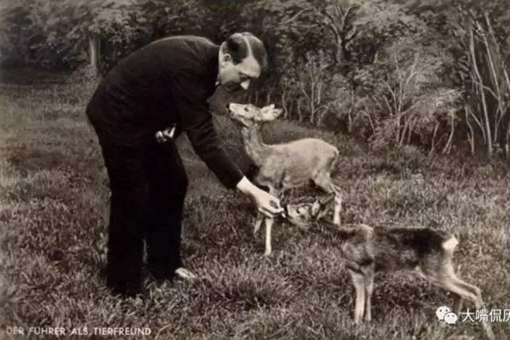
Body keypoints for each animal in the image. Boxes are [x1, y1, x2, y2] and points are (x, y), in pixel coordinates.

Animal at [227, 102, 342, 256]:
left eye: (247, 108)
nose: (228, 105)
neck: (263, 157)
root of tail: (335, 150)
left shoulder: (276, 185)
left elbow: (269, 217)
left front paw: (267, 251)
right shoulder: (263, 187)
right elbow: (260, 212)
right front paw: (254, 235)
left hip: (321, 174)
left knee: (338, 191)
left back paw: (335, 222)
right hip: (315, 180)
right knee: (332, 192)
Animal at [282, 194, 494, 340]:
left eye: (300, 210)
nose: (284, 206)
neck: (344, 239)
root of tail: (450, 242)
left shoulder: (369, 264)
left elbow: (368, 294)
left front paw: (368, 322)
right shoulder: (354, 271)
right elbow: (358, 300)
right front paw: (356, 324)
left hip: (435, 269)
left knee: (473, 290)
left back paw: (487, 333)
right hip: (440, 269)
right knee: (460, 292)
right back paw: (448, 326)